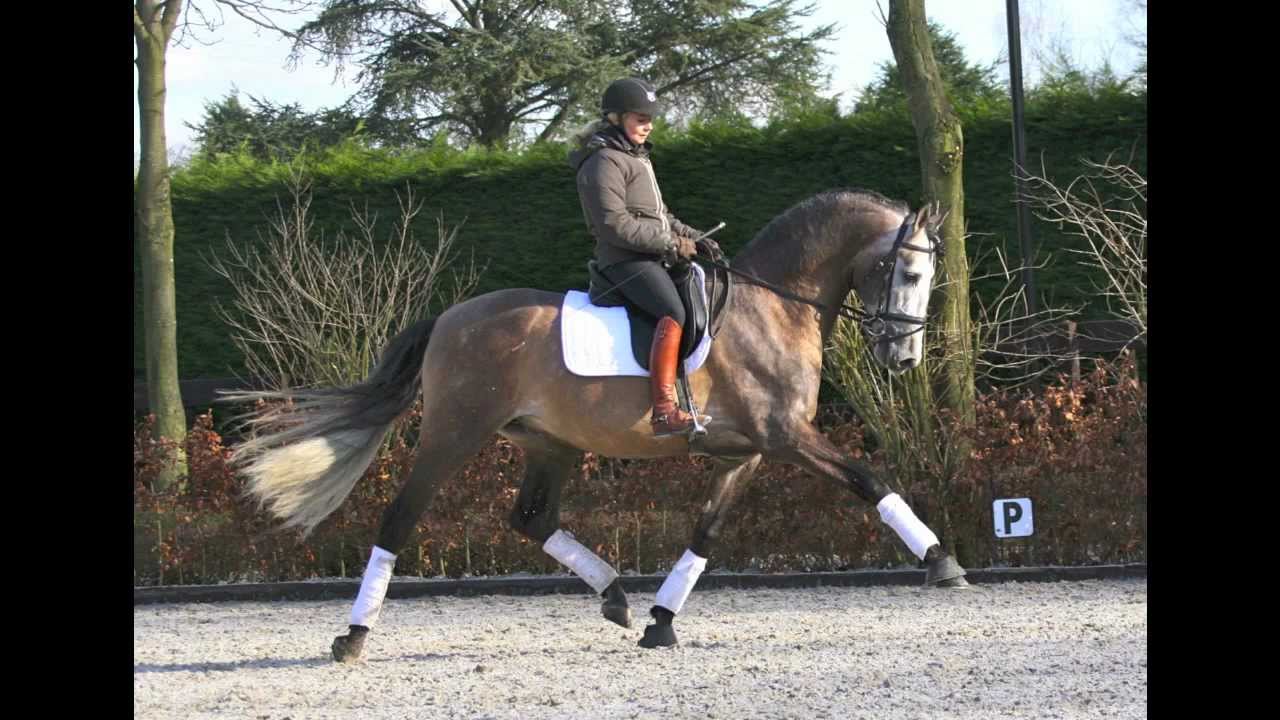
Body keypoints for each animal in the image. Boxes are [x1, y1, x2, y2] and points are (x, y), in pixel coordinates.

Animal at [223, 188, 970, 663]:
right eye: (908, 272)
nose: (903, 358)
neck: (774, 307)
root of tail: (450, 319)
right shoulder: (787, 438)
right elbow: (869, 480)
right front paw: (942, 560)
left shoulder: (748, 451)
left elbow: (706, 532)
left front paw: (662, 622)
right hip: (453, 435)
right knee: (400, 521)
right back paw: (352, 638)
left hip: (549, 444)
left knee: (531, 519)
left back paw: (614, 596)